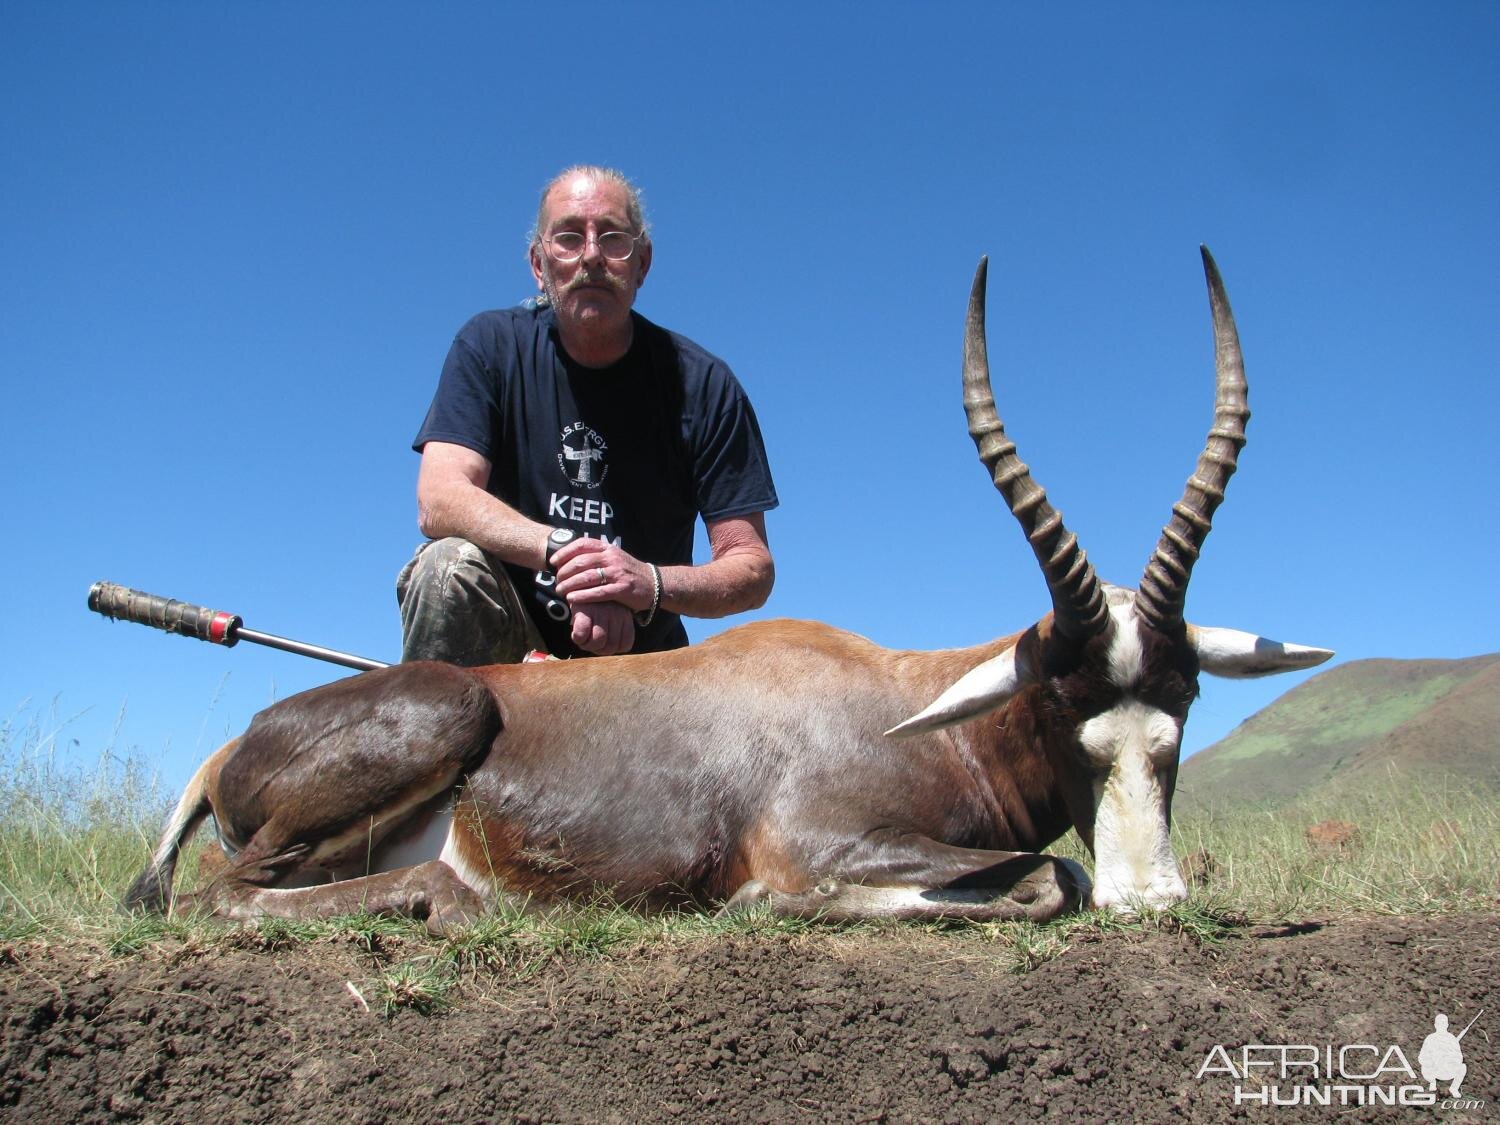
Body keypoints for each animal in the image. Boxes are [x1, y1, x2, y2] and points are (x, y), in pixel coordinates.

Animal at [126, 250, 1326, 930]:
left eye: (1183, 703)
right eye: (1063, 700)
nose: (1152, 900)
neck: (902, 702)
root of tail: (233, 746)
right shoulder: (826, 839)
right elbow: (1044, 879)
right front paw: (763, 904)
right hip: (440, 719)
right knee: (216, 898)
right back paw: (450, 900)